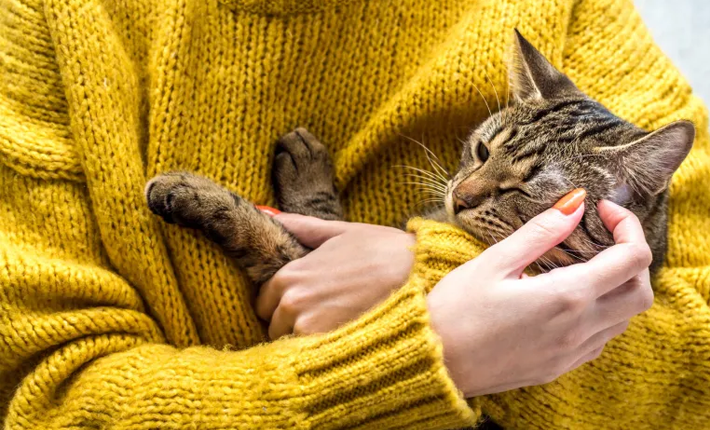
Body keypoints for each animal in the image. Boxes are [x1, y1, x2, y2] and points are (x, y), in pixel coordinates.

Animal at [145, 31, 696, 288]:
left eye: (522, 189)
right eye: (481, 151)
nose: (461, 196)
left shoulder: (301, 263)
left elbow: (272, 229)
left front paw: (191, 191)